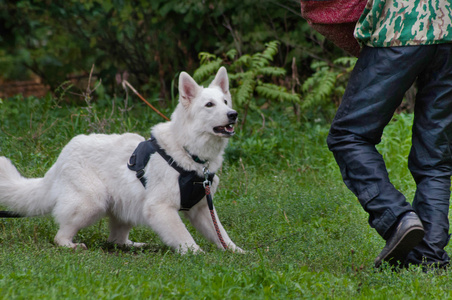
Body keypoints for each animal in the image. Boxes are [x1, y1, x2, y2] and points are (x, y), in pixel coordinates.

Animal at [0, 67, 244, 253]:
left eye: (225, 101)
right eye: (209, 105)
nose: (233, 114)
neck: (188, 152)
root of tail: (62, 157)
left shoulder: (202, 209)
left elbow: (222, 235)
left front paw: (237, 252)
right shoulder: (160, 208)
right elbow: (185, 237)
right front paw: (197, 254)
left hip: (125, 207)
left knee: (116, 240)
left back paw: (134, 245)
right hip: (92, 202)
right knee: (60, 236)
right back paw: (72, 245)